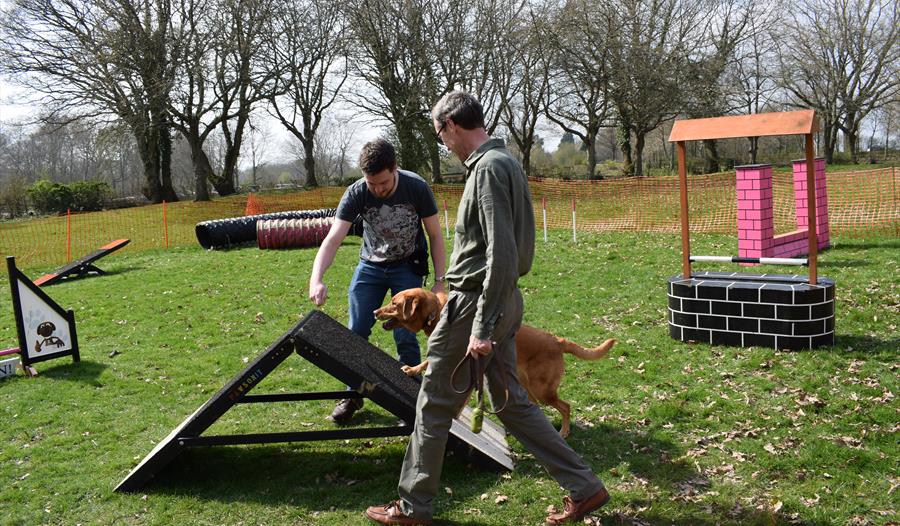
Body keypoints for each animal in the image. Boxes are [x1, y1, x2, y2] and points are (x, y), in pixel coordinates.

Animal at [374, 288, 620, 438]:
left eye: (394, 303)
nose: (375, 311)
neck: (435, 313)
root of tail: (558, 341)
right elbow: (426, 363)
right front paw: (411, 369)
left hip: (542, 389)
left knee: (565, 406)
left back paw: (564, 433)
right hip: (527, 386)